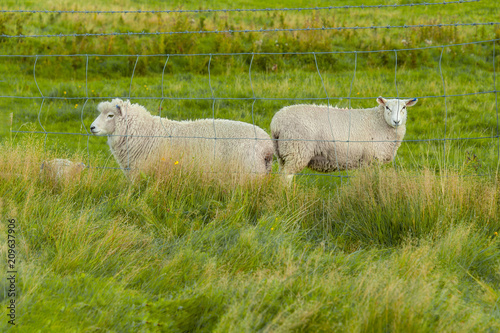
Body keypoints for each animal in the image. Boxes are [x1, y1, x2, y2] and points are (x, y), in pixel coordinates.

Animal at [272, 96, 416, 180]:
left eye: (404, 107)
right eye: (387, 107)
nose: (396, 121)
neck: (379, 121)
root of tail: (276, 122)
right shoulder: (371, 159)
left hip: (283, 153)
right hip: (296, 149)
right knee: (287, 176)